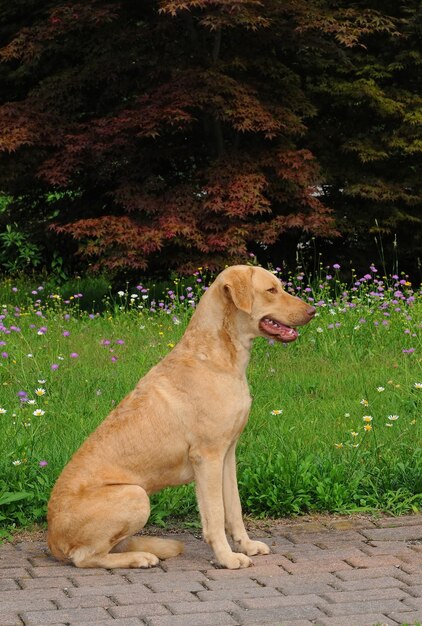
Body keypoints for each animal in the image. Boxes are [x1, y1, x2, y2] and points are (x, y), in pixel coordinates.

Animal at [47, 264, 314, 564]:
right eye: (271, 290)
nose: (313, 311)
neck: (219, 355)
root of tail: (52, 540)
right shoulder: (207, 457)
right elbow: (215, 515)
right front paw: (227, 558)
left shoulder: (227, 454)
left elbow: (234, 508)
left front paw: (246, 546)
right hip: (135, 495)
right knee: (86, 557)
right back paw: (140, 558)